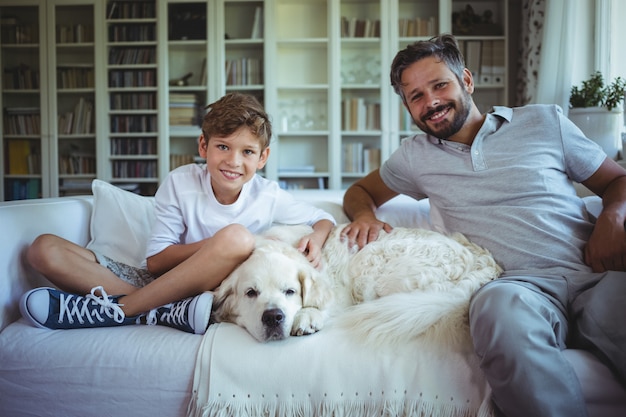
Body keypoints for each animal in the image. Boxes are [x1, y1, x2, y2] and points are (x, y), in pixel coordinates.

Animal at [212, 224, 500, 344]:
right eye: (250, 293)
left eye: (290, 291)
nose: (273, 317)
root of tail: (483, 260)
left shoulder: (337, 288)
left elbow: (323, 302)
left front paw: (308, 316)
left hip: (369, 261)